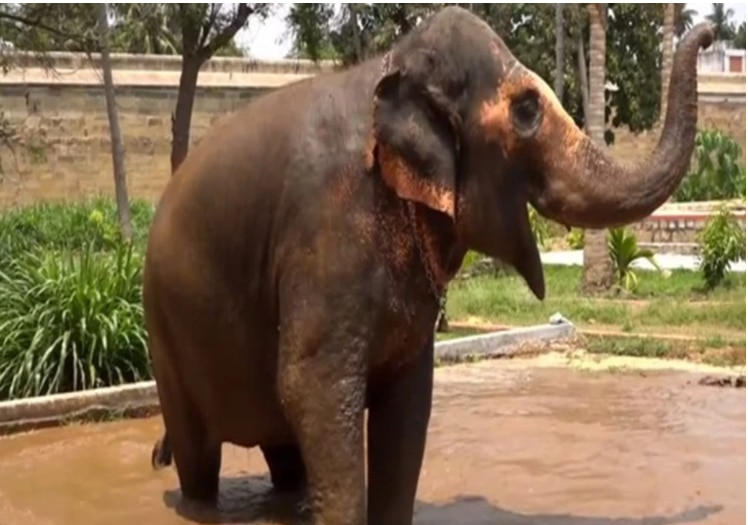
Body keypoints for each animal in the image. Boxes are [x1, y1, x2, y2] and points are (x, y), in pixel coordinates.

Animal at [144, 7, 713, 525]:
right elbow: (311, 386)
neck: (387, 68)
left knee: (284, 455)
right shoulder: (324, 228)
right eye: (527, 110)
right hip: (164, 333)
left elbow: (409, 400)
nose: (707, 32)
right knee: (199, 458)